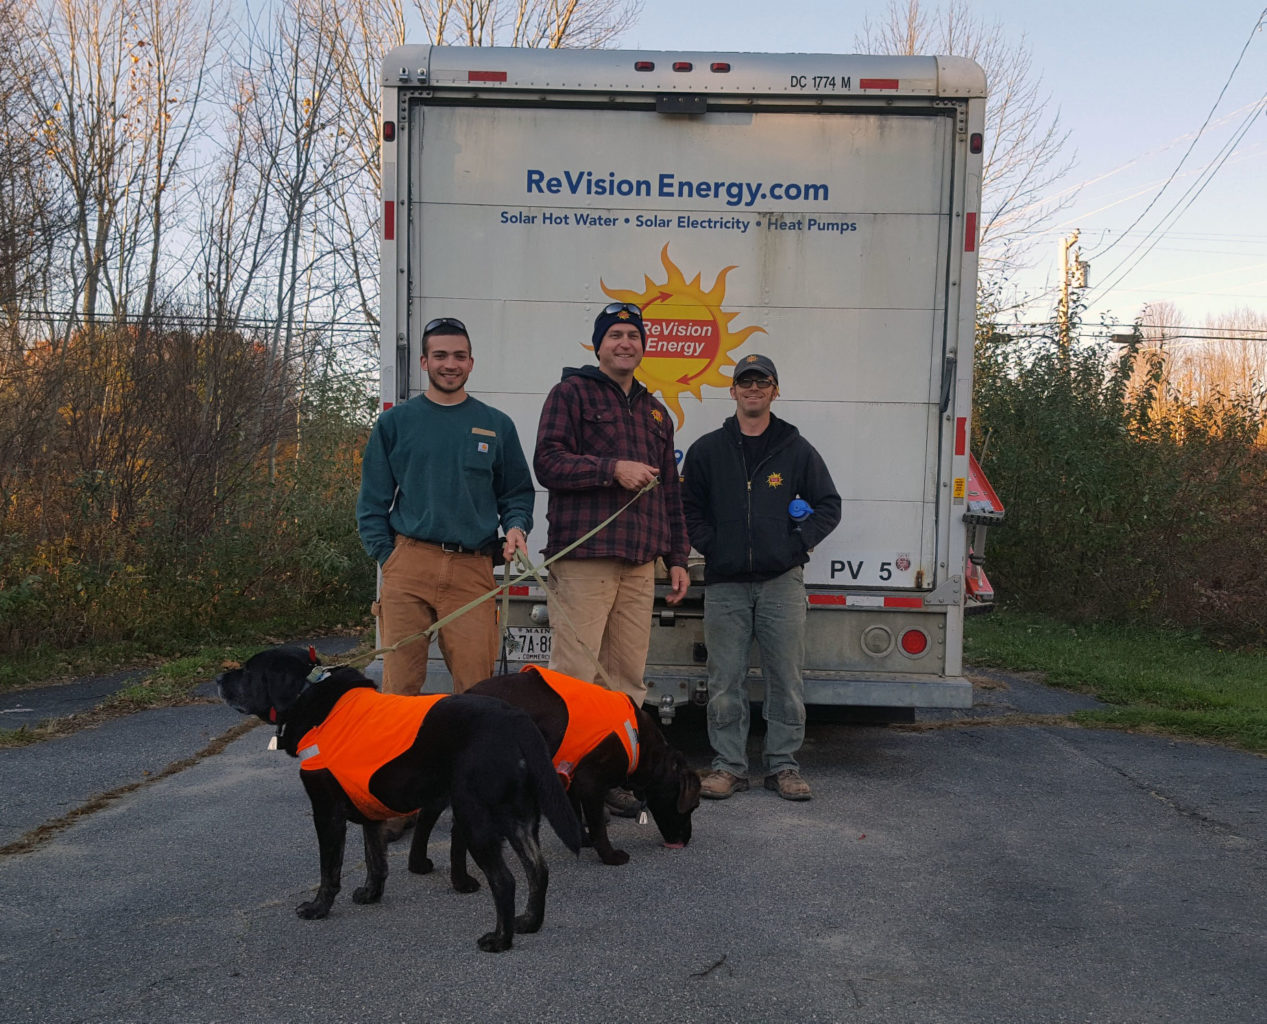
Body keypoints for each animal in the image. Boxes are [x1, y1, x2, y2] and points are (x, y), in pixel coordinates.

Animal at [216, 648, 582, 953]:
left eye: (248, 670)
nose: (218, 679)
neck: (309, 692)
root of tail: (516, 721)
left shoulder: (326, 813)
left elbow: (329, 870)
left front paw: (318, 908)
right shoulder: (370, 810)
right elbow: (376, 860)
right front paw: (371, 894)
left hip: (475, 819)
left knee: (505, 882)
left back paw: (500, 940)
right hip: (520, 819)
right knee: (538, 870)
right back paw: (529, 922)